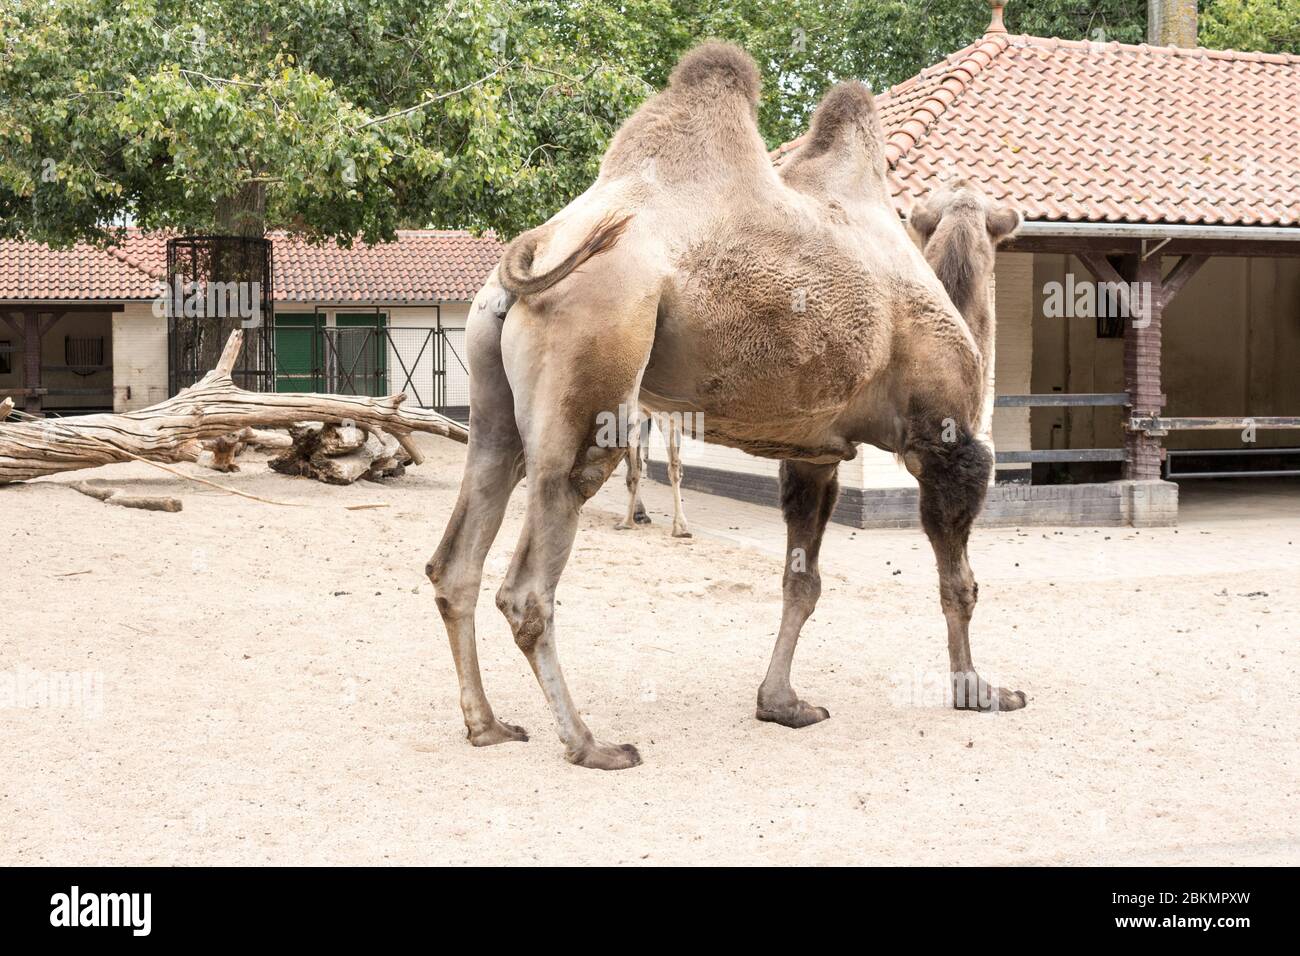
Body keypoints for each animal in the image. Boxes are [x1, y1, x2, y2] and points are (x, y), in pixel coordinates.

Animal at [426, 44, 1024, 775]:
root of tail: (539, 248)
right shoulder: (944, 441)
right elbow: (958, 581)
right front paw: (978, 690)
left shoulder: (815, 454)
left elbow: (803, 582)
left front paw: (782, 704)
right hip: (598, 355)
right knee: (531, 579)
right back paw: (591, 744)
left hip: (492, 395)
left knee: (457, 556)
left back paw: (486, 724)